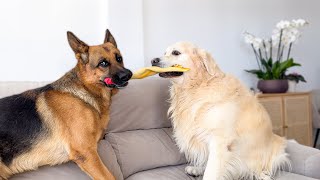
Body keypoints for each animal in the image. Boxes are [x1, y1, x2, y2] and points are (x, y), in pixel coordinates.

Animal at [0, 28, 132, 179]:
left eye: (119, 58)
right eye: (103, 63)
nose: (128, 74)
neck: (84, 90)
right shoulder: (86, 153)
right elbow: (109, 176)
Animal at [151, 41, 288, 179]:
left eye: (176, 52)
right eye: (165, 53)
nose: (153, 60)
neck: (197, 86)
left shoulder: (219, 140)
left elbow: (211, 171)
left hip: (276, 151)